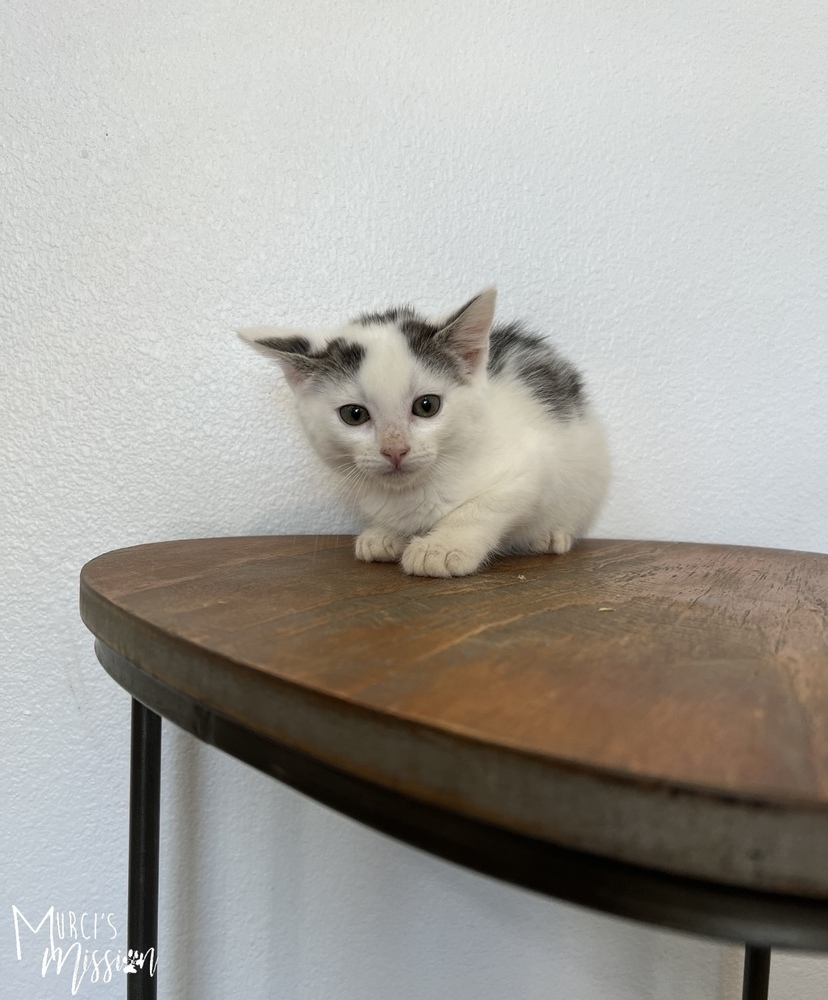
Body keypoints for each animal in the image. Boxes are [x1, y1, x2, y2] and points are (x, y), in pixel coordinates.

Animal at [239, 288, 608, 580]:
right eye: (353, 415)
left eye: (427, 406)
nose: (395, 450)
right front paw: (387, 534)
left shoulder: (531, 465)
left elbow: (483, 504)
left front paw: (441, 547)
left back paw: (550, 536)